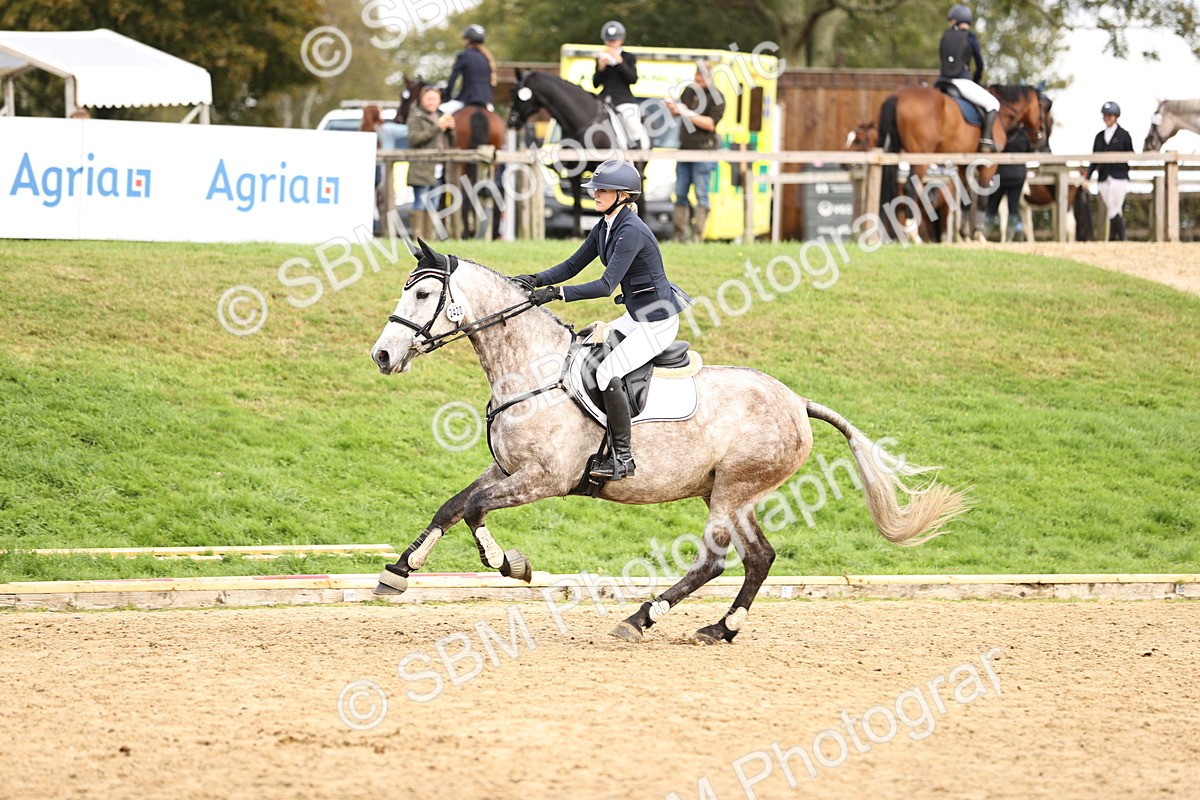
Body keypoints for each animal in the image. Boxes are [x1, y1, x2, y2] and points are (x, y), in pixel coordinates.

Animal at [368, 238, 969, 644]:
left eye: (425, 293)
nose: (382, 355)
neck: (531, 370)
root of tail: (797, 402)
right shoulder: (509, 470)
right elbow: (454, 506)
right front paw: (400, 573)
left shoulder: (544, 479)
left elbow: (473, 508)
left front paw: (507, 563)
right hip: (730, 494)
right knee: (759, 557)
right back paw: (721, 628)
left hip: (732, 491)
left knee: (716, 561)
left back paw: (642, 618)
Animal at [397, 75, 506, 240]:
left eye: (405, 97)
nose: (397, 118)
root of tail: (478, 112)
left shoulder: (444, 168)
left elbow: (443, 196)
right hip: (494, 160)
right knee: (490, 190)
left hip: (463, 164)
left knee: (467, 193)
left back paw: (467, 232)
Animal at [507, 69, 648, 237]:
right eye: (513, 92)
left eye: (519, 95)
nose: (511, 122)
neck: (582, 123)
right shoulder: (574, 172)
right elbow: (577, 202)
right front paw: (576, 234)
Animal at [877, 83, 1045, 242]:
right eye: (1042, 107)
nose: (1040, 137)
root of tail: (897, 96)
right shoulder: (990, 164)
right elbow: (983, 198)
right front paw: (978, 233)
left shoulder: (965, 165)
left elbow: (967, 196)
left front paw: (964, 234)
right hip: (920, 158)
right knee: (910, 189)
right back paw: (914, 235)